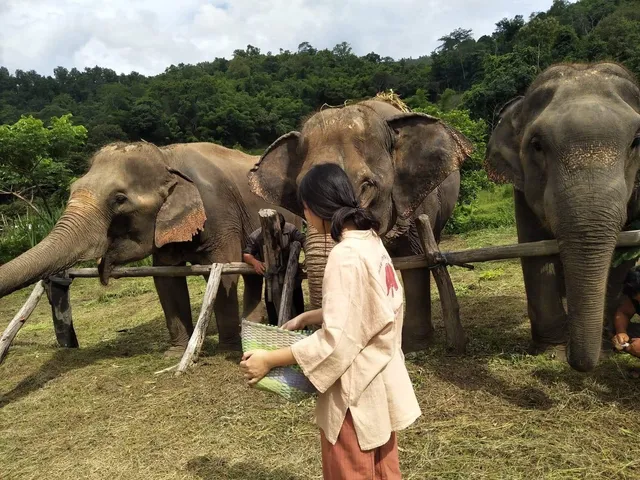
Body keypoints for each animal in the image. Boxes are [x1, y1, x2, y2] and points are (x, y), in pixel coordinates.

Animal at [0, 141, 300, 356]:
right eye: (72, 188)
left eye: (119, 199)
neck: (166, 157)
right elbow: (166, 280)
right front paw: (175, 353)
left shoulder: (219, 212)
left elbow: (224, 271)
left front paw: (228, 348)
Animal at [485, 62, 640, 372]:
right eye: (537, 145)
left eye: (637, 142)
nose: (574, 360)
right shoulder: (523, 188)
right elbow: (534, 249)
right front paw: (551, 349)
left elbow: (625, 251)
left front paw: (609, 341)